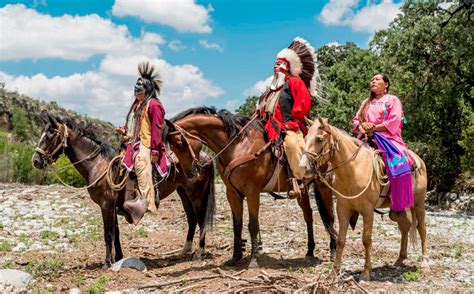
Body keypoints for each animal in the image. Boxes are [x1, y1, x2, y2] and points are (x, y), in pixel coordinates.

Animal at [30, 111, 214, 268]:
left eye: (51, 134)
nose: (36, 161)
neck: (98, 164)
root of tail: (205, 157)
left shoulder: (106, 204)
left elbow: (108, 233)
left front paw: (106, 263)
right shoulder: (113, 205)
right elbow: (116, 233)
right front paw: (118, 258)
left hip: (196, 194)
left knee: (201, 218)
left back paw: (199, 252)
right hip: (183, 193)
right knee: (192, 219)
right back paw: (184, 251)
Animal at [165, 107, 338, 268]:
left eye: (180, 143)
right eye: (172, 146)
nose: (191, 173)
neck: (238, 146)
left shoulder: (252, 192)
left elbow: (253, 225)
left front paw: (253, 260)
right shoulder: (232, 193)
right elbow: (237, 225)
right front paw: (236, 257)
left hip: (324, 186)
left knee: (329, 216)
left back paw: (333, 250)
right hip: (303, 191)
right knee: (308, 215)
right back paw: (310, 251)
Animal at [300, 116, 430, 280]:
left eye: (319, 139)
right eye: (305, 138)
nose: (303, 167)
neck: (354, 169)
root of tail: (419, 161)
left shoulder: (367, 211)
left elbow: (366, 239)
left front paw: (366, 272)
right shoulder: (343, 209)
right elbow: (341, 240)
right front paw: (335, 271)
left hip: (419, 203)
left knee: (421, 228)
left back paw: (424, 261)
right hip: (398, 208)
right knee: (404, 225)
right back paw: (400, 259)